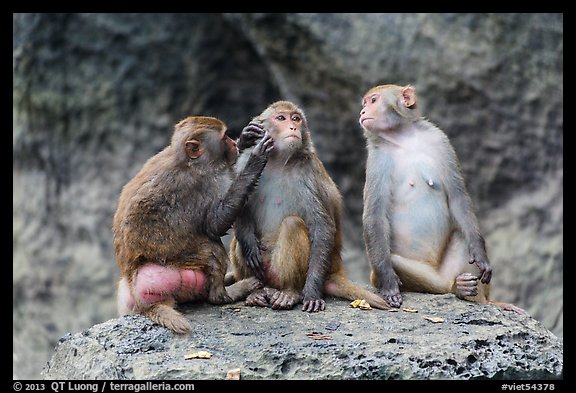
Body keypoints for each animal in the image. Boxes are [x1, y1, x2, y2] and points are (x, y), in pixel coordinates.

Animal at [113, 115, 276, 332]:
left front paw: (246, 138)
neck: (188, 161)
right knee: (212, 250)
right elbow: (215, 224)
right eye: (224, 138)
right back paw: (227, 293)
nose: (233, 143)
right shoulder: (205, 183)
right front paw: (255, 160)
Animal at [227, 101, 390, 312]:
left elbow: (321, 226)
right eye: (281, 118)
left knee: (292, 224)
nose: (293, 128)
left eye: (296, 118)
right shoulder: (245, 162)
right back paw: (256, 290)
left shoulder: (308, 173)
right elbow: (238, 208)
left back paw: (290, 292)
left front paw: (311, 293)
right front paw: (249, 246)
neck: (278, 161)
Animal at [360, 83, 528, 312]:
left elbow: (458, 197)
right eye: (365, 103)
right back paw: (456, 288)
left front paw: (481, 255)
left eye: (373, 101)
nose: (362, 112)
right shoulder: (378, 159)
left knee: (463, 235)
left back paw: (476, 296)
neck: (403, 140)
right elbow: (375, 216)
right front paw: (388, 284)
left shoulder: (439, 139)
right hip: (426, 278)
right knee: (400, 266)